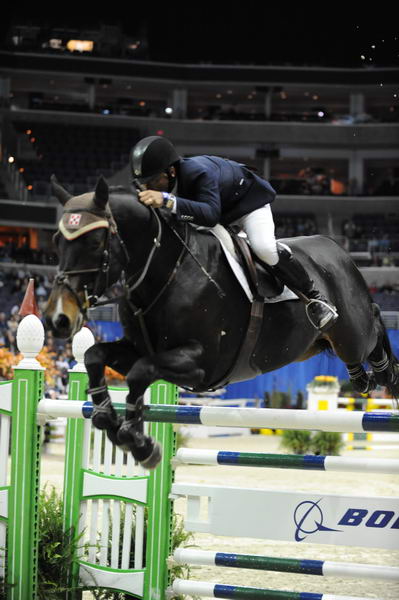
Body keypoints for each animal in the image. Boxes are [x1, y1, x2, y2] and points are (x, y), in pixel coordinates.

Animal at [44, 177, 399, 468]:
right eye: (56, 241)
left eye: (94, 243)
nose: (58, 319)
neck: (166, 271)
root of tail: (337, 249)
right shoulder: (139, 348)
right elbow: (95, 356)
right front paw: (109, 420)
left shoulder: (201, 363)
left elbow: (140, 372)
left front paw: (138, 441)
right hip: (320, 344)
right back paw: (362, 378)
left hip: (352, 333)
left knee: (374, 326)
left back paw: (384, 372)